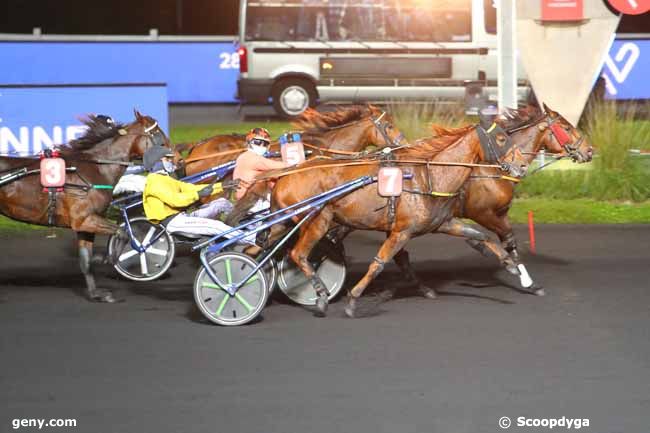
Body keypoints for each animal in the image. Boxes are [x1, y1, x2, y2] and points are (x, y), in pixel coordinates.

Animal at [0, 109, 170, 302]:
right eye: (157, 133)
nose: (175, 156)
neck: (96, 170)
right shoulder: (84, 220)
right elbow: (123, 233)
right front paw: (106, 258)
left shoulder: (86, 224)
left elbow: (85, 261)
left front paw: (97, 293)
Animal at [268, 121, 528, 318]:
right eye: (501, 138)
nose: (523, 164)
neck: (428, 177)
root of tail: (286, 174)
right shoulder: (401, 232)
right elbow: (379, 263)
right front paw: (352, 301)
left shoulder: (443, 223)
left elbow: (481, 235)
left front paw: (512, 265)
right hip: (316, 220)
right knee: (298, 254)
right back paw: (321, 295)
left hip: (283, 221)